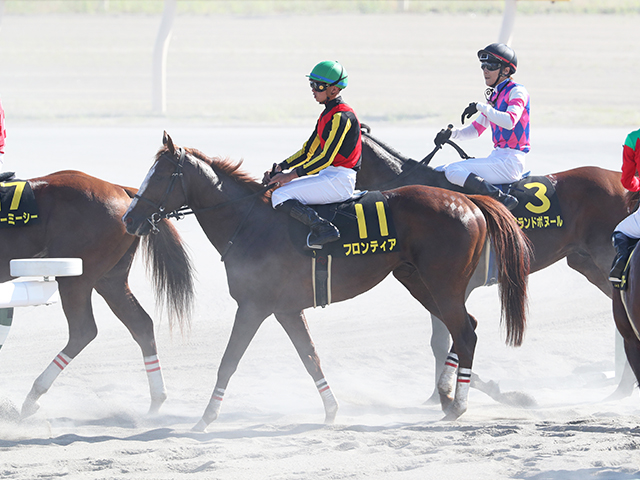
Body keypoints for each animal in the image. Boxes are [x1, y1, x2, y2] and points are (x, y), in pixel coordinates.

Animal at [0, 170, 195, 417]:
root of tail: (121, 189)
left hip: (77, 277)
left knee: (83, 330)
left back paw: (34, 395)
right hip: (110, 280)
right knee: (140, 324)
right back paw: (156, 400)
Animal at [122, 132, 531, 431]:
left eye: (160, 176)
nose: (129, 218)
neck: (250, 221)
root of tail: (471, 202)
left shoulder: (253, 306)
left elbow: (229, 361)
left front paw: (206, 419)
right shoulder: (285, 310)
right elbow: (311, 358)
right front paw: (332, 410)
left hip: (442, 284)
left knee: (464, 332)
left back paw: (458, 403)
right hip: (418, 281)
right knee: (465, 328)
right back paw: (457, 396)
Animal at [356, 126, 636, 399]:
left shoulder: (451, 285)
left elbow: (446, 338)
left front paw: (454, 392)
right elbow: (443, 339)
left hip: (605, 257)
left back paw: (623, 386)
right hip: (586, 263)